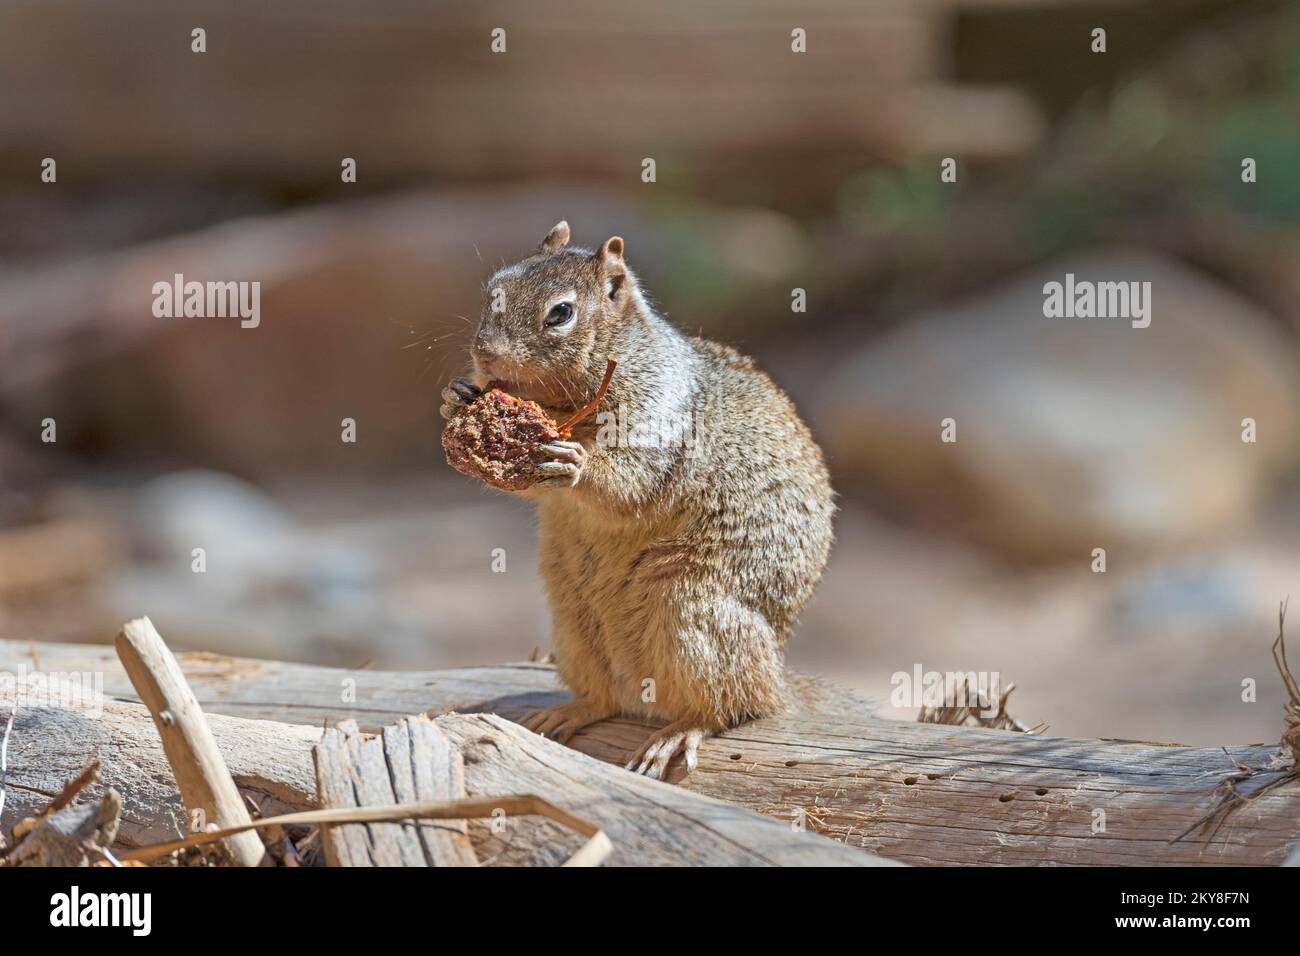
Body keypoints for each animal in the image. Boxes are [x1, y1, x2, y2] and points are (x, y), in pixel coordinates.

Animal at [441, 222, 837, 780]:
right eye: (493, 288)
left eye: (560, 313)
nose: (485, 356)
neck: (562, 404)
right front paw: (456, 395)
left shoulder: (659, 416)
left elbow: (633, 483)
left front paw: (578, 464)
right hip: (573, 622)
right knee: (608, 697)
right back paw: (571, 710)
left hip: (692, 616)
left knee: (736, 706)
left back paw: (679, 732)